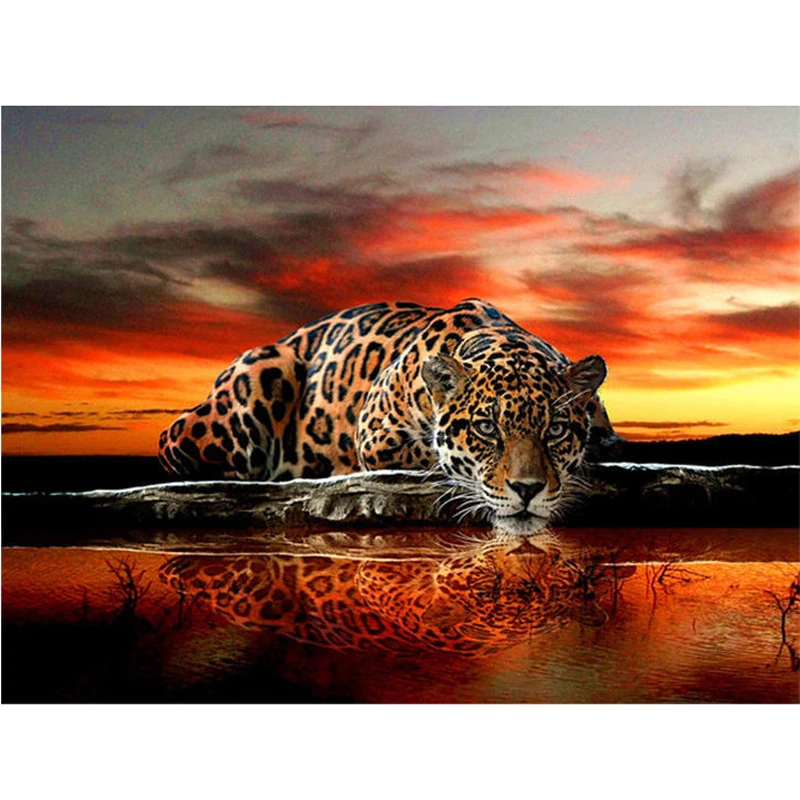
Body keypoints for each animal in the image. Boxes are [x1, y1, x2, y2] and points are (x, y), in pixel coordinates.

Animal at [158, 298, 616, 526]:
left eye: (555, 430)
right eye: (486, 428)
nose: (527, 490)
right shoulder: (377, 434)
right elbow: (432, 455)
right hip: (259, 374)